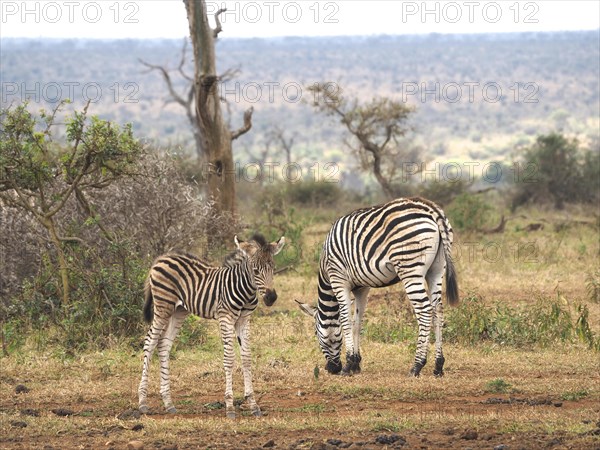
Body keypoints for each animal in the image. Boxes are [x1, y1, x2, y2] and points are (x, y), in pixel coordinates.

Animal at [139, 236, 284, 418]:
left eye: (273, 268)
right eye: (256, 270)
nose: (271, 298)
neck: (245, 289)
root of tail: (162, 258)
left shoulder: (244, 319)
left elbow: (246, 358)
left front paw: (253, 404)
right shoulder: (225, 317)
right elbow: (229, 358)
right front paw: (230, 407)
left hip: (179, 311)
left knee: (163, 345)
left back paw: (168, 403)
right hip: (163, 306)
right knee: (150, 342)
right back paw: (142, 402)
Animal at [298, 199, 460, 378]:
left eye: (316, 334)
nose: (332, 369)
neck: (325, 267)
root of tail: (431, 209)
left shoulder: (338, 279)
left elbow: (346, 320)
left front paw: (348, 365)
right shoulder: (362, 288)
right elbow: (357, 322)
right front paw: (356, 363)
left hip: (410, 269)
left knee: (424, 310)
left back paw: (417, 366)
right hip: (437, 269)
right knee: (438, 310)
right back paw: (438, 366)